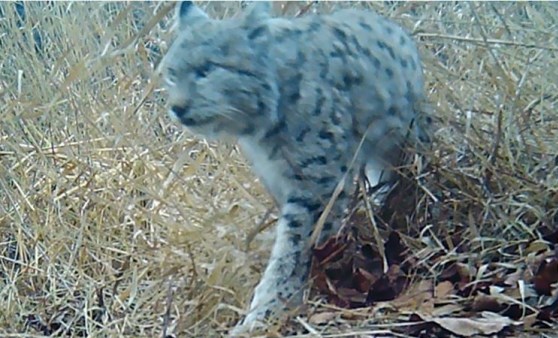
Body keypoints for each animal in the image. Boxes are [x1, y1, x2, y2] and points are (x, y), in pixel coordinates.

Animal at [160, 0, 430, 336]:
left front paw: (268, 312)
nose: (177, 108)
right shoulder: (277, 176)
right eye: (171, 75)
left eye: (207, 70)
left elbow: (295, 246)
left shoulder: (318, 183)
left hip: (404, 136)